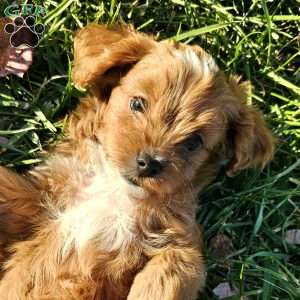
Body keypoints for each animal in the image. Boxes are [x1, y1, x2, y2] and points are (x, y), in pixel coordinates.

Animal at [0, 25, 274, 300]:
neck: (116, 189)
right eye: (137, 103)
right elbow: (9, 189)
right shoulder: (45, 196)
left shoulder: (180, 241)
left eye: (194, 142)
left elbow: (173, 267)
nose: (149, 163)